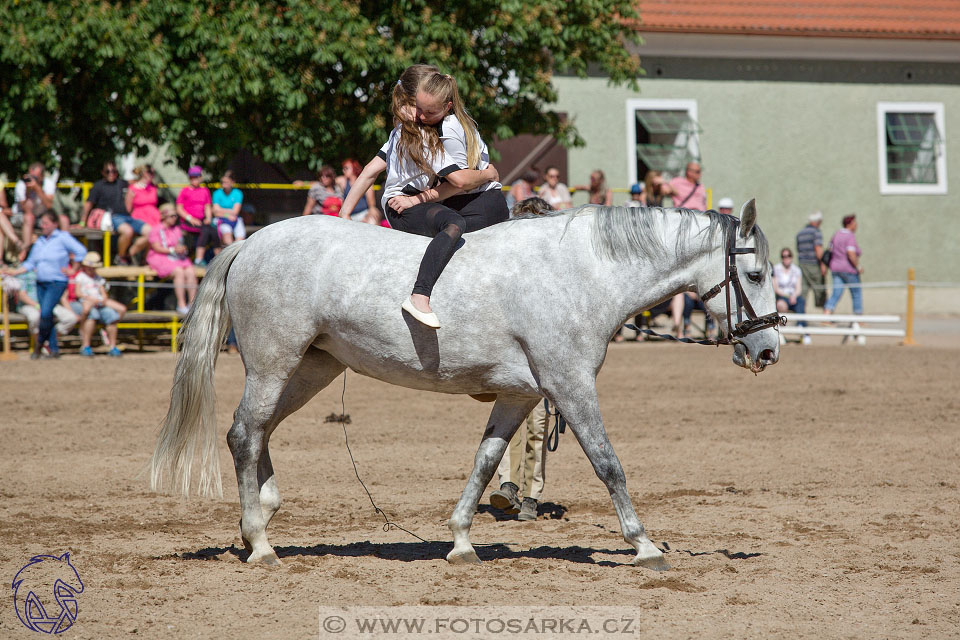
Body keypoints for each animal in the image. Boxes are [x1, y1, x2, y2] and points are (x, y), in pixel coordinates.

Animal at [150, 201, 780, 568]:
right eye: (754, 274)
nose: (768, 349)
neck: (582, 271)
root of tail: (251, 242)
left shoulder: (520, 395)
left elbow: (485, 461)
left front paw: (460, 541)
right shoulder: (570, 385)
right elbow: (608, 463)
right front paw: (645, 545)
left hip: (310, 369)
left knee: (259, 431)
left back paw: (260, 518)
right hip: (274, 363)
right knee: (243, 433)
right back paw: (259, 544)